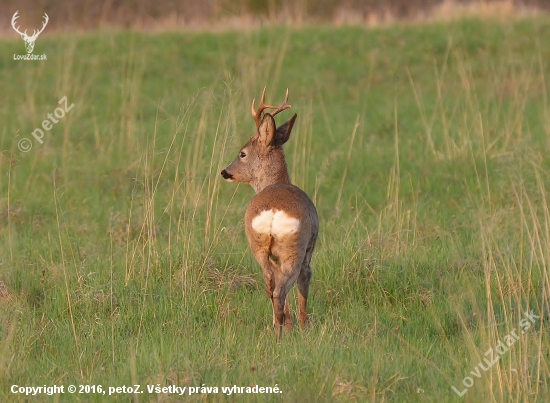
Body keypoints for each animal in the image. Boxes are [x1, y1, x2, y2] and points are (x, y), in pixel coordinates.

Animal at [222, 89, 322, 340]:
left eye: (242, 153)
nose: (225, 172)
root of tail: (274, 213)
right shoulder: (310, 249)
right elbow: (304, 284)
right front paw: (303, 327)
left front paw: (290, 325)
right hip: (294, 248)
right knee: (283, 288)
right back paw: (283, 331)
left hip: (257, 245)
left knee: (270, 284)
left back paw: (278, 327)